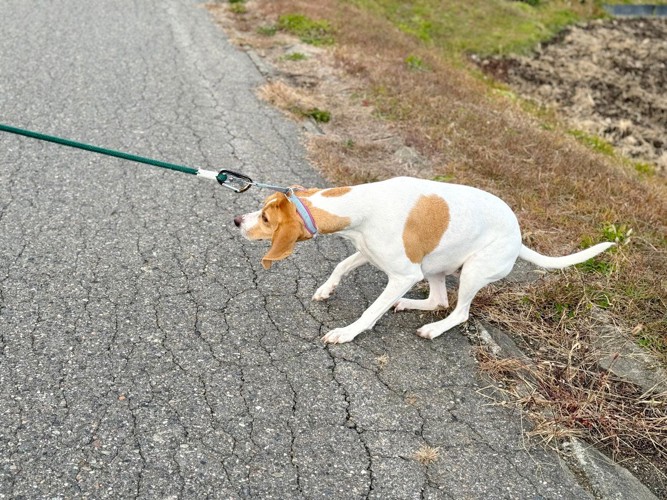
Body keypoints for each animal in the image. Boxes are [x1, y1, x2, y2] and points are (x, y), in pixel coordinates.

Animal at [235, 176, 616, 344]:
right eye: (262, 209)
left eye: (266, 219)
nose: (237, 220)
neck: (360, 205)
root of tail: (519, 236)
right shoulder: (368, 252)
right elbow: (340, 265)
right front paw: (327, 289)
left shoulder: (404, 274)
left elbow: (370, 312)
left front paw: (347, 332)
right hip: (434, 265)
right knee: (438, 299)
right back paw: (406, 304)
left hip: (472, 270)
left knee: (458, 311)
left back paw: (433, 327)